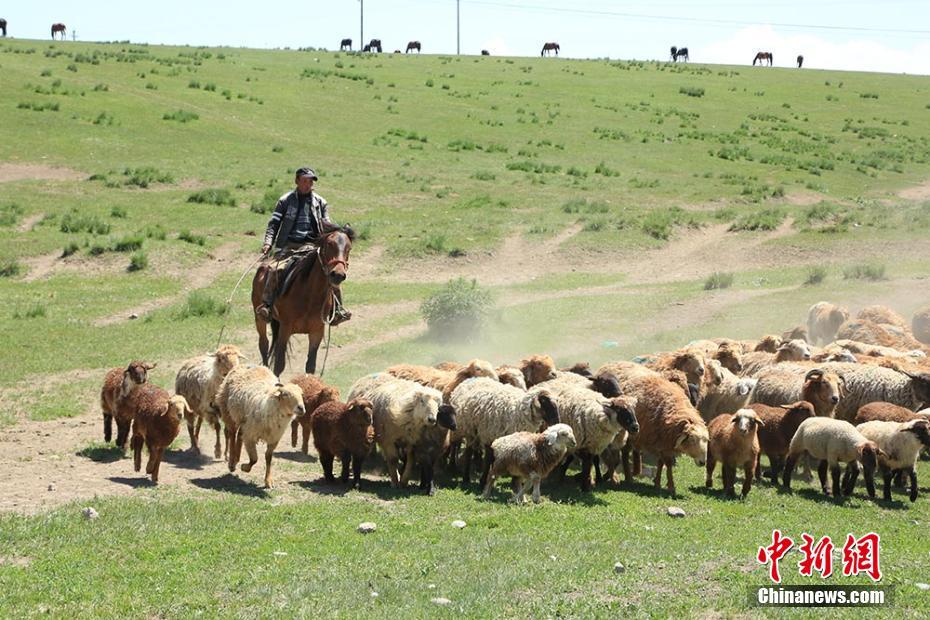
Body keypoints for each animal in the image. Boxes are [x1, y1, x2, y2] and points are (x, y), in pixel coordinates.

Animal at [252, 226, 354, 376]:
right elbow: (279, 365)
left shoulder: (317, 331)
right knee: (263, 345)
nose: (338, 275)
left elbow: (310, 366)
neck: (310, 296)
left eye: (349, 248)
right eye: (329, 244)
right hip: (259, 318)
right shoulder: (285, 328)